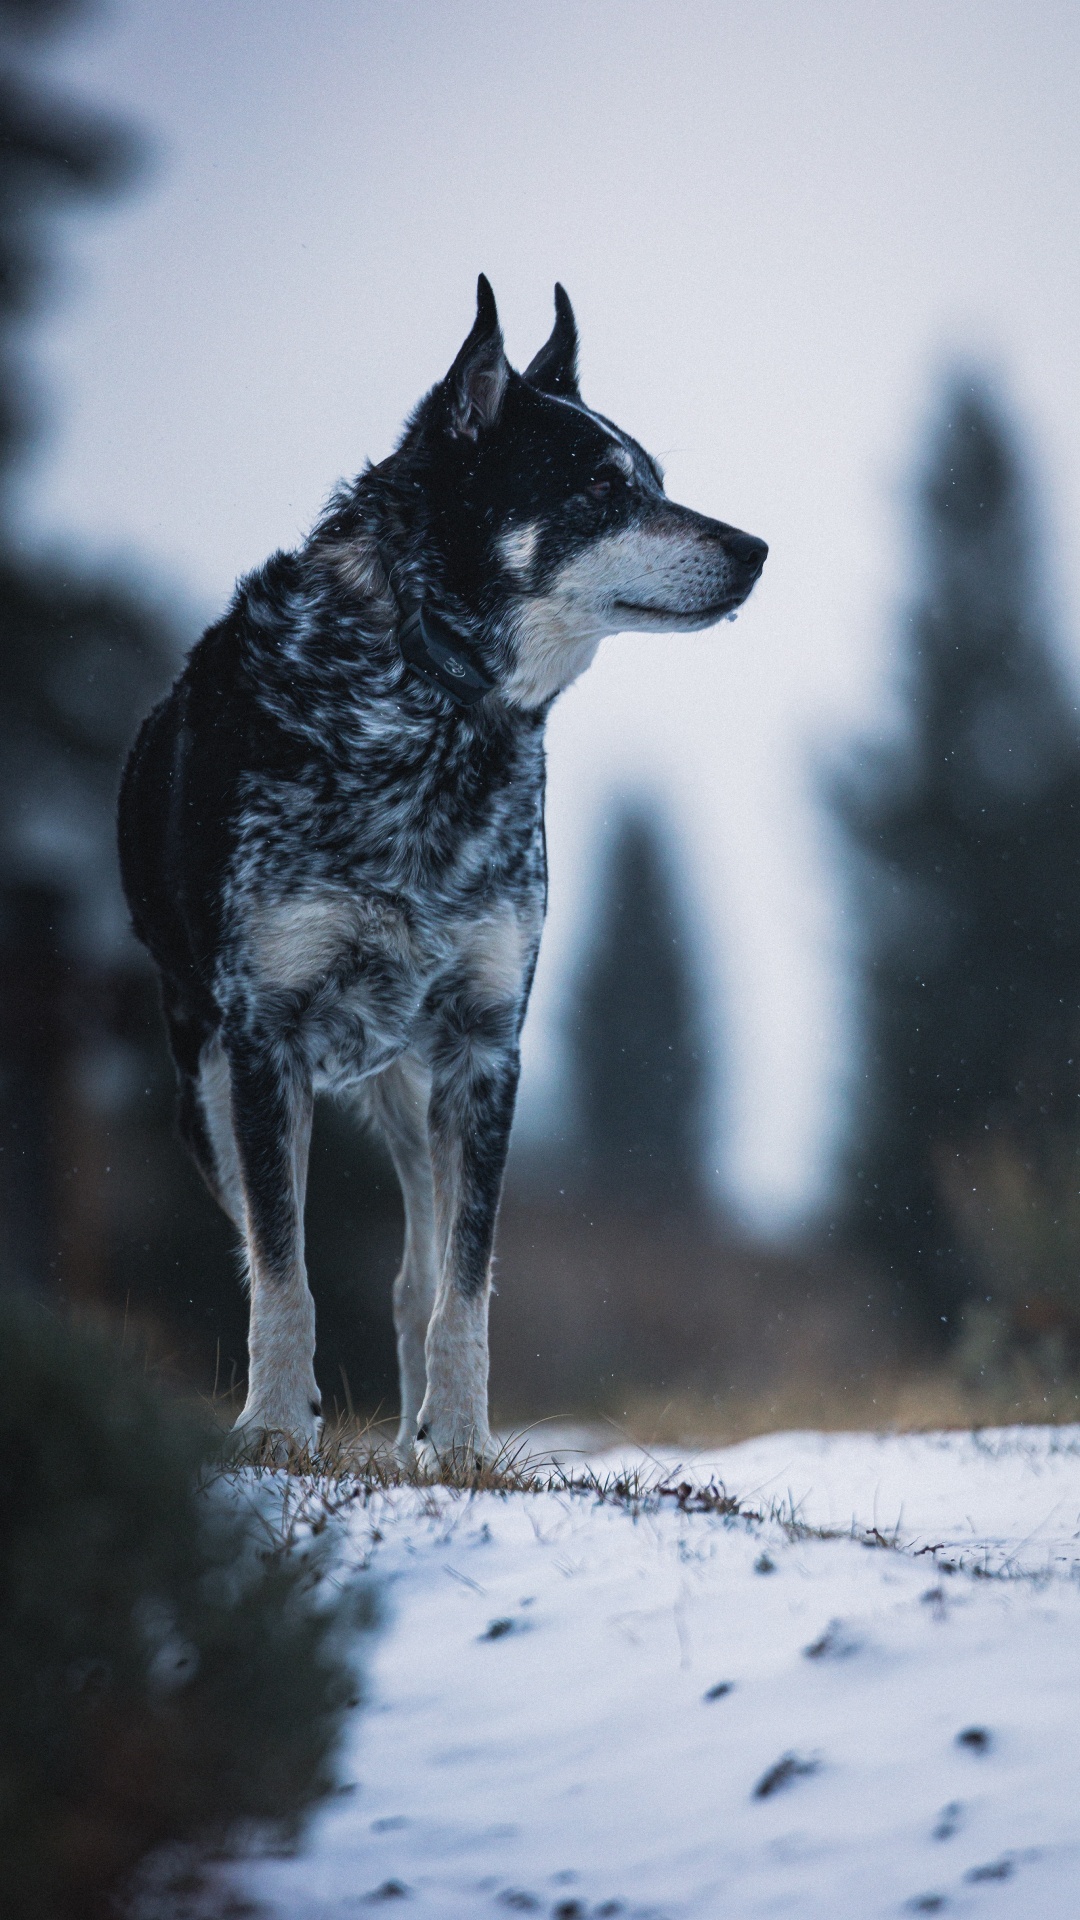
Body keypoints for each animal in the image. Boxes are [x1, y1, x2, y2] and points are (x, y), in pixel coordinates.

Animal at [117, 278, 764, 1459]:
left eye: (655, 480)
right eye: (600, 488)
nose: (756, 547)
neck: (428, 714)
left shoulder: (484, 1047)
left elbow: (463, 1284)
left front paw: (462, 1444)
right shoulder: (263, 1042)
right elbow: (282, 1273)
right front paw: (274, 1428)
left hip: (413, 1092)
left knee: (416, 1275)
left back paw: (420, 1429)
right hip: (208, 1083)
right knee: (269, 1248)